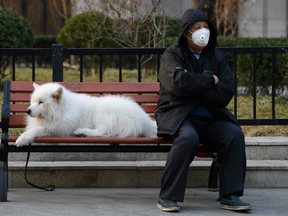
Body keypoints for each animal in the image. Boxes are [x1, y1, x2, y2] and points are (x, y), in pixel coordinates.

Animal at [14, 82, 158, 147]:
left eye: (41, 102)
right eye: (33, 101)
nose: (27, 111)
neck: (62, 110)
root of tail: (143, 117)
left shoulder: (57, 128)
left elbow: (36, 130)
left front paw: (22, 139)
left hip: (102, 112)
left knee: (103, 132)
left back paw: (82, 131)